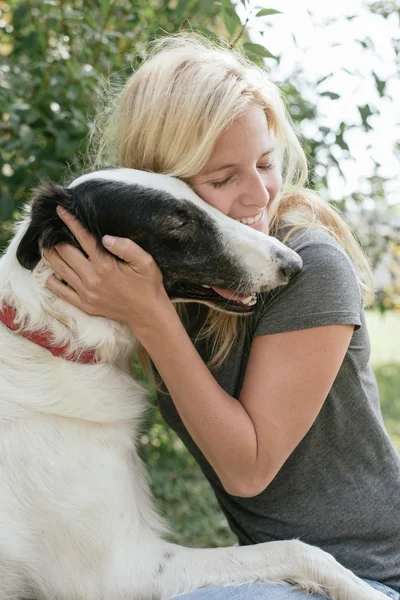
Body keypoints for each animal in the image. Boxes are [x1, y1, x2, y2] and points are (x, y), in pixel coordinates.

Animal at [0, 169, 388, 600]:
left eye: (199, 197)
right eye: (176, 221)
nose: (295, 263)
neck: (52, 338)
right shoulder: (121, 572)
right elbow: (297, 549)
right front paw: (367, 592)